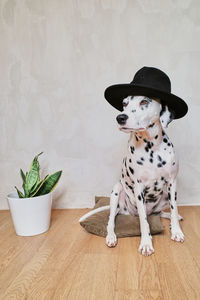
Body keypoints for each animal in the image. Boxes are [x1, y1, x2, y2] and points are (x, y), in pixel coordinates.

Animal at [78, 95, 184, 255]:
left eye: (144, 101)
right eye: (124, 103)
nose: (120, 117)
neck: (152, 149)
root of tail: (127, 212)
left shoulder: (172, 183)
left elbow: (174, 208)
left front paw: (176, 230)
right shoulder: (139, 188)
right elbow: (144, 222)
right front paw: (146, 243)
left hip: (164, 196)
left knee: (158, 214)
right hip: (117, 191)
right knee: (111, 220)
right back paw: (111, 236)